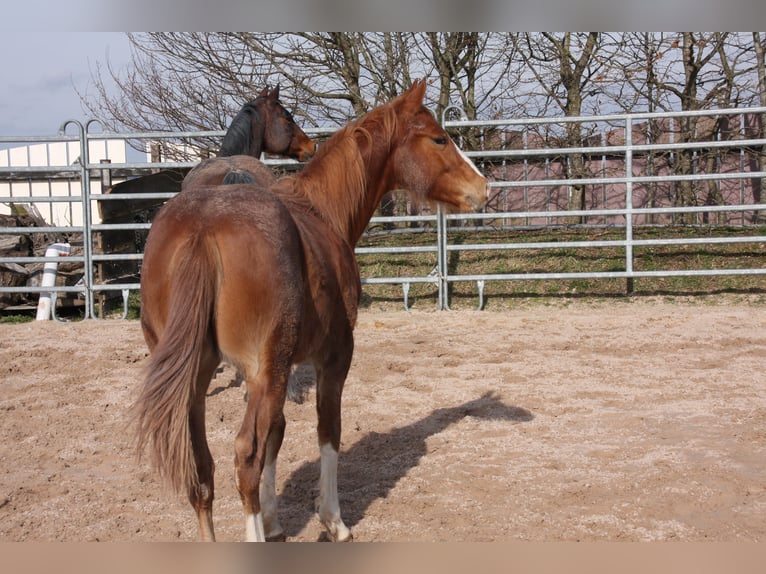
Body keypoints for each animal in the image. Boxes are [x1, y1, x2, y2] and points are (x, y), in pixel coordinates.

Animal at [135, 81, 488, 544]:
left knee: (201, 467)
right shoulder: (332, 357)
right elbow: (326, 431)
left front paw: (274, 520)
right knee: (244, 453)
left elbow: (277, 433)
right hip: (261, 372)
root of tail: (202, 230)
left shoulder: (277, 371)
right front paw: (333, 520)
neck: (322, 211)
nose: (484, 188)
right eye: (439, 139)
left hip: (196, 377)